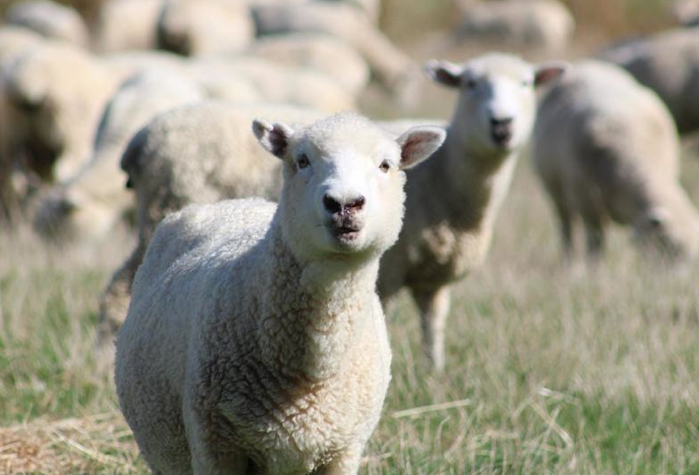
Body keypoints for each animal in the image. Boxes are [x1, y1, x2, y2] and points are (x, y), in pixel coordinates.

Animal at [114, 111, 446, 474]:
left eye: (386, 165)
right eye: (302, 160)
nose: (344, 204)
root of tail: (235, 203)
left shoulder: (343, 450)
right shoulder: (214, 444)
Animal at [376, 53, 568, 371]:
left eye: (526, 83)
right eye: (470, 84)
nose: (502, 124)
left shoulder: (435, 277)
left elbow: (434, 325)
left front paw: (434, 372)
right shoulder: (387, 272)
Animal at [532, 59, 699, 261]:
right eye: (667, 245)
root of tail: (587, 64)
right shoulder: (587, 202)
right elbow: (595, 243)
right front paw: (594, 267)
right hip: (555, 191)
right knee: (567, 228)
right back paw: (569, 260)